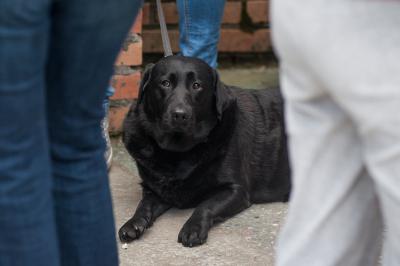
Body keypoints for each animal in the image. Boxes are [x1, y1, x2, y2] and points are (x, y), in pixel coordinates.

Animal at [119, 55, 290, 247]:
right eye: (165, 83)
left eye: (196, 85)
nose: (180, 114)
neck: (177, 151)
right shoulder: (154, 190)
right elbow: (143, 205)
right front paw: (133, 223)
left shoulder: (235, 190)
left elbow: (206, 205)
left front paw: (193, 227)